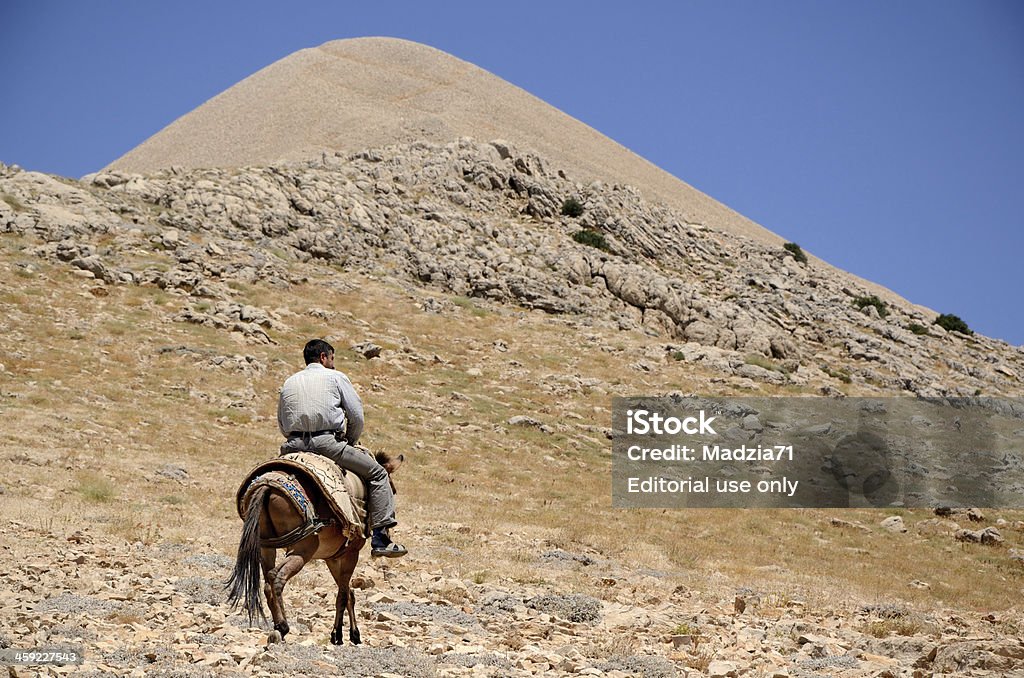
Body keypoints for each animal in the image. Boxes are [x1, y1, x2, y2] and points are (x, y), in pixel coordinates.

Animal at [228, 450, 403, 647]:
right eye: (392, 491)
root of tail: (267, 485)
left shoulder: (333, 558)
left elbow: (348, 593)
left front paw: (352, 634)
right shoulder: (351, 554)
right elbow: (343, 595)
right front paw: (338, 634)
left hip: (267, 548)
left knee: (267, 582)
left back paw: (277, 628)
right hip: (303, 549)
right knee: (277, 577)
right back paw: (283, 626)